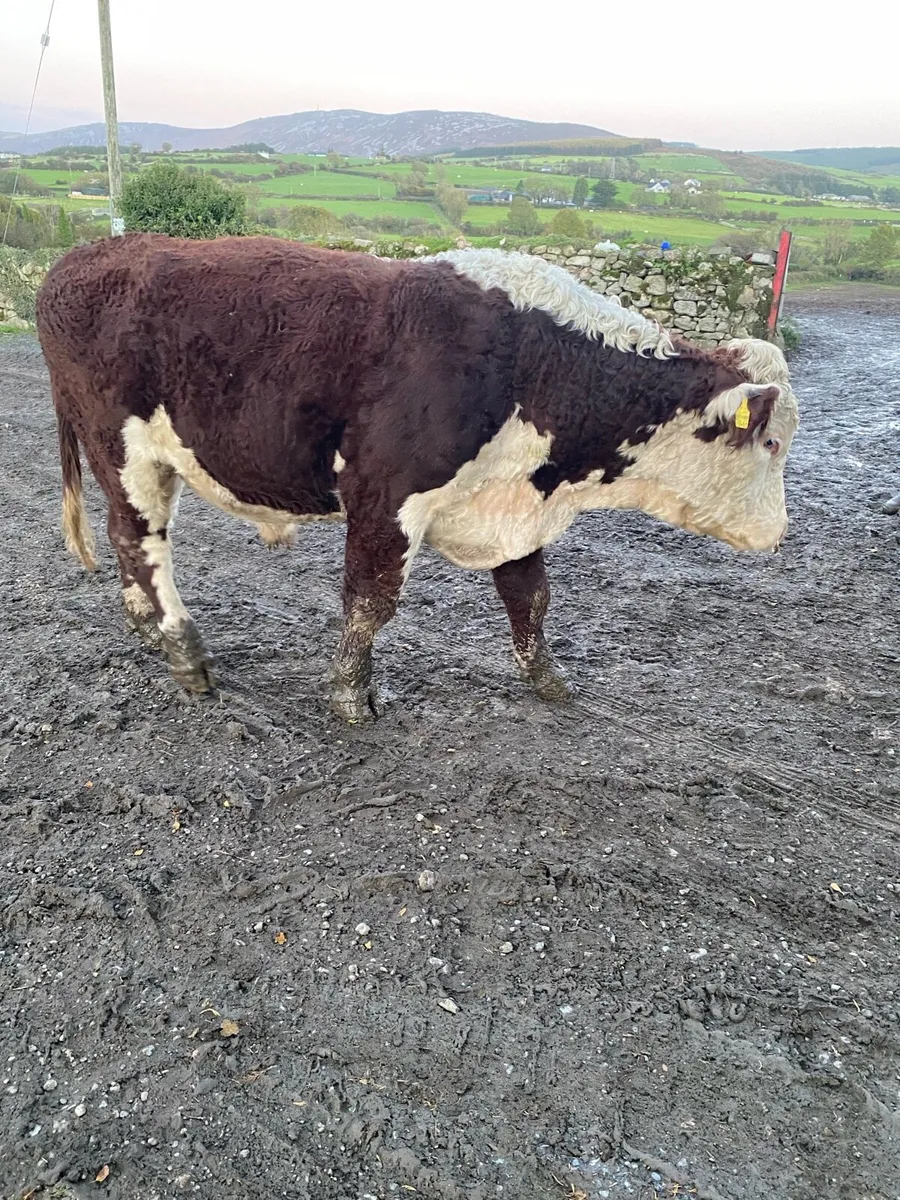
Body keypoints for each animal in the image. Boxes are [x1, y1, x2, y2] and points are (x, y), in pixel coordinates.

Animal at [36, 234, 799, 722]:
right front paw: (350, 698)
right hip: (124, 450)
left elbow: (531, 597)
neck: (533, 361)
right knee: (140, 541)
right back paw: (184, 651)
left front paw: (548, 680)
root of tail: (85, 256)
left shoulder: (514, 505)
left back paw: (146, 626)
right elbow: (371, 603)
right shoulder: (386, 494)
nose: (780, 533)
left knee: (126, 540)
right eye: (770, 441)